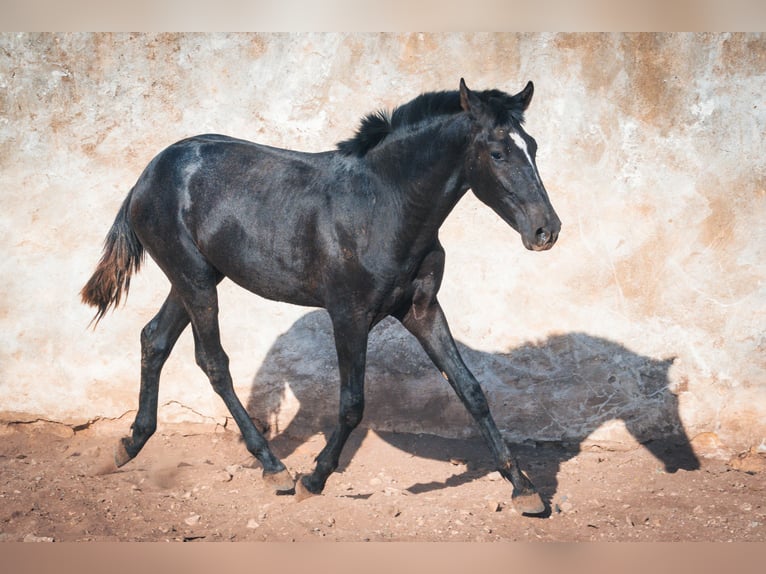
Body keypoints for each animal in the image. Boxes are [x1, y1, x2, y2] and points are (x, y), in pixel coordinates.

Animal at [82, 77, 564, 516]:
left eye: (534, 147)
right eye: (498, 153)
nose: (547, 230)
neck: (382, 206)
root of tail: (149, 172)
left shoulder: (422, 310)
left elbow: (471, 389)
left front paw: (525, 490)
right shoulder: (349, 314)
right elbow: (352, 404)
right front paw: (313, 479)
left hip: (193, 278)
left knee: (154, 339)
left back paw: (129, 444)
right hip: (195, 280)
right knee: (212, 361)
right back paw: (274, 468)